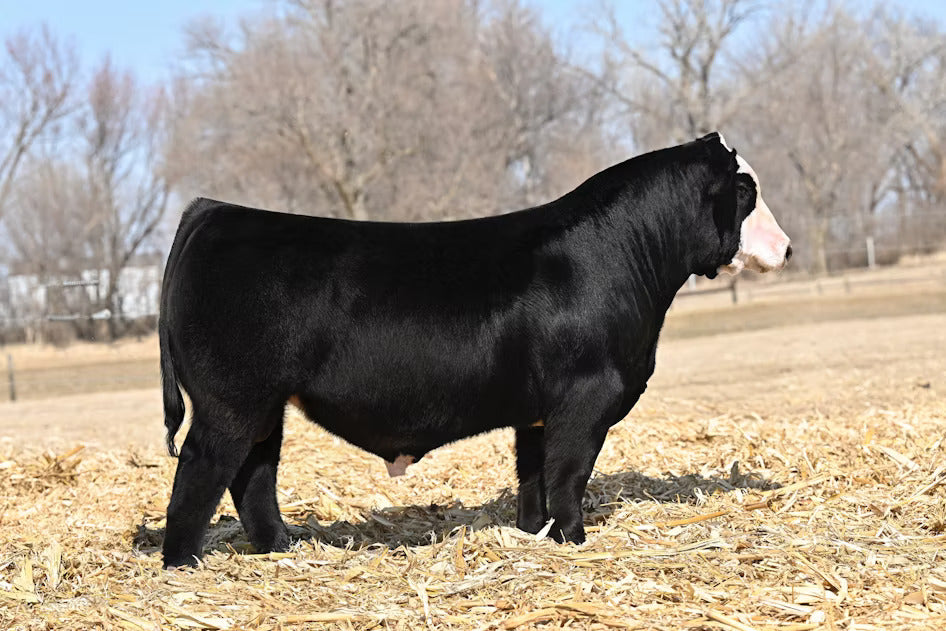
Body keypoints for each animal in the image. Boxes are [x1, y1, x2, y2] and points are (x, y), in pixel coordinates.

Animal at [158, 132, 790, 568]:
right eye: (745, 190)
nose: (787, 248)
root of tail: (215, 210)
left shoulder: (538, 411)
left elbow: (534, 476)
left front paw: (536, 533)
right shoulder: (585, 397)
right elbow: (569, 473)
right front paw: (574, 539)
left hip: (263, 407)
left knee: (253, 477)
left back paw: (280, 549)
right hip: (231, 402)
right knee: (201, 472)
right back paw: (183, 563)